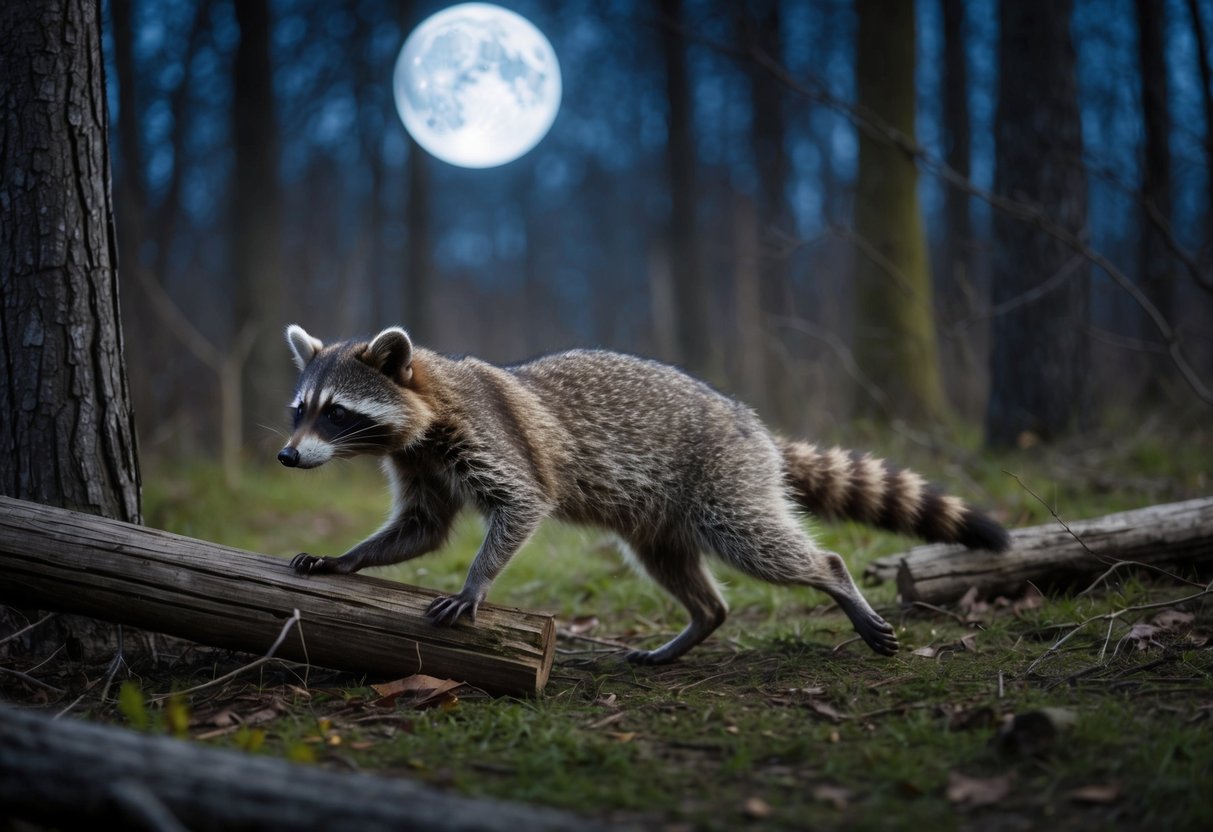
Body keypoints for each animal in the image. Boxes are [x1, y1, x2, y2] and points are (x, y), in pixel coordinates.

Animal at [279, 324, 1010, 664]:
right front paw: (349, 557)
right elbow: (423, 527)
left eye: (336, 413)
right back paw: (700, 621)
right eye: (299, 411)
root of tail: (751, 424)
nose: (287, 456)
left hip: (724, 480)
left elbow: (522, 503)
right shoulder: (421, 464)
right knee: (676, 568)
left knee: (763, 545)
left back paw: (832, 578)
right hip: (658, 517)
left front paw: (476, 582)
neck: (425, 400)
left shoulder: (487, 435)